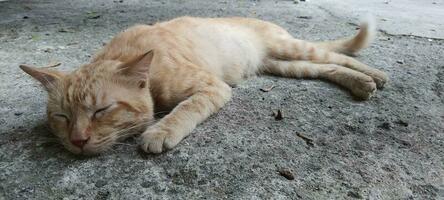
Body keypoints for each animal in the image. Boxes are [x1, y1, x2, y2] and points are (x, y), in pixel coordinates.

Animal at [20, 16, 388, 155]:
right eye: (62, 117)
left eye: (101, 110)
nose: (77, 141)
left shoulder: (213, 87)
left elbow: (186, 108)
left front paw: (160, 131)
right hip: (286, 65)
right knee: (328, 65)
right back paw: (361, 83)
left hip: (292, 49)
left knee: (336, 55)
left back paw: (375, 75)